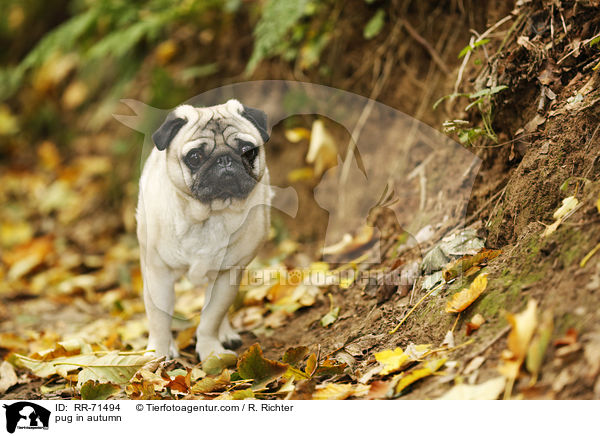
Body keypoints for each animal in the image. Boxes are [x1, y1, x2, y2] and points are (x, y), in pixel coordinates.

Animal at [137, 99, 270, 362]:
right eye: (195, 157)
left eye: (247, 151)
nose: (224, 159)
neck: (209, 215)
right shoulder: (158, 274)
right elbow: (159, 319)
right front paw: (158, 353)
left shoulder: (227, 275)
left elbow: (211, 317)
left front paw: (211, 351)